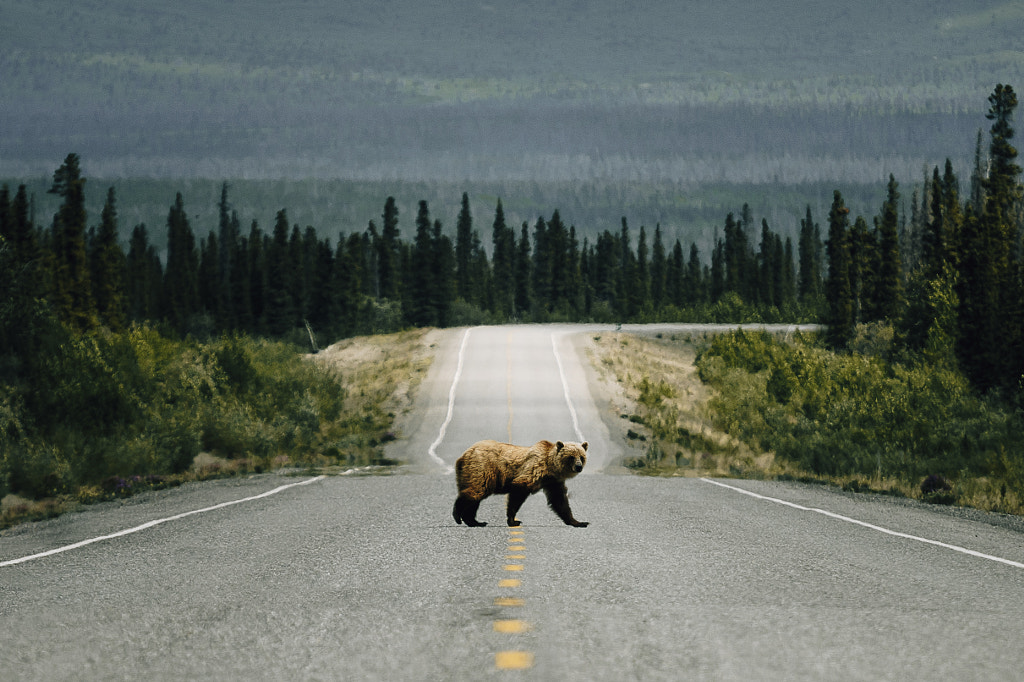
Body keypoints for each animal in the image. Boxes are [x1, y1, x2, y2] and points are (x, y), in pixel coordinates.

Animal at [452, 438, 589, 528]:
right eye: (571, 457)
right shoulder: (532, 471)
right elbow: (518, 492)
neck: (550, 468)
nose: (578, 467)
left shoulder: (553, 482)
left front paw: (579, 522)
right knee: (475, 491)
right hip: (482, 469)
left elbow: (560, 501)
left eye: (581, 457)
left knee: (475, 497)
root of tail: (464, 454)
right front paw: (513, 521)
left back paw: (475, 522)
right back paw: (458, 516)